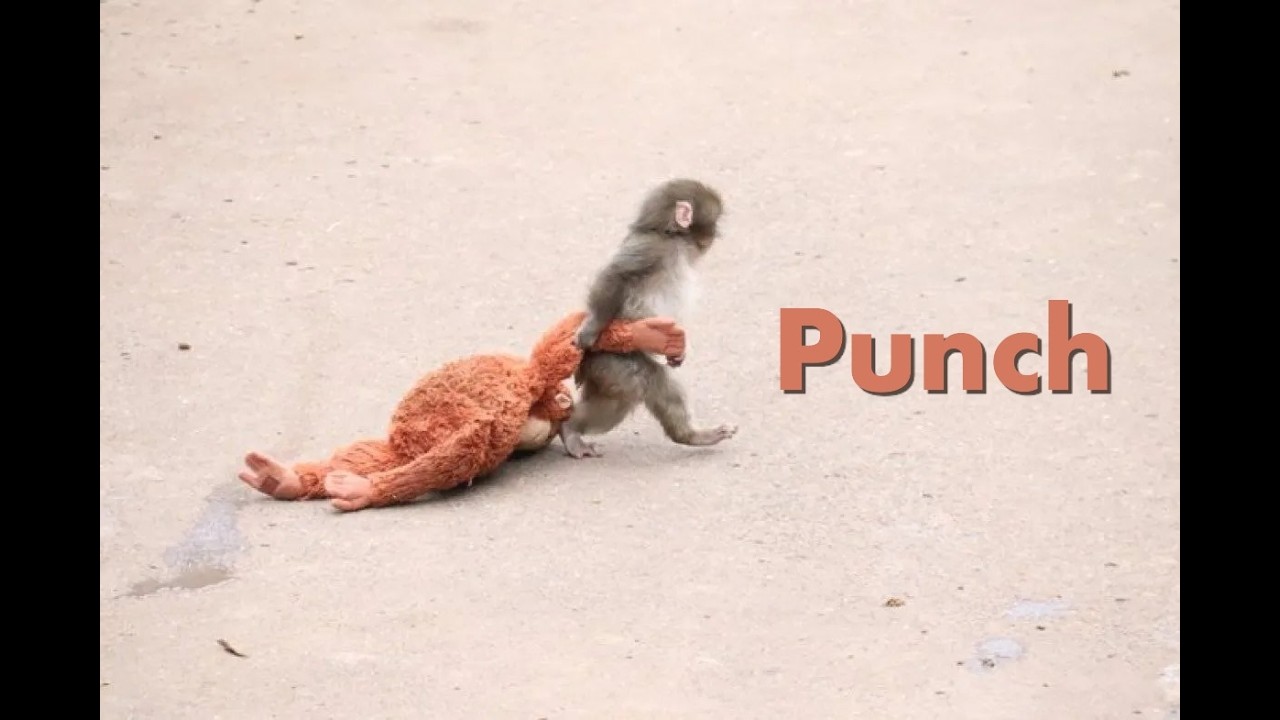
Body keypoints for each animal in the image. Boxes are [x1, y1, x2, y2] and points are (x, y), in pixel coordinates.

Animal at [560, 178, 738, 459]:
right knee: (647, 382)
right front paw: (590, 329)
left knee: (622, 400)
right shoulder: (651, 249)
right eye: (715, 221)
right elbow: (616, 275)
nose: (715, 235)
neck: (669, 236)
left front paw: (677, 353)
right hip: (612, 361)